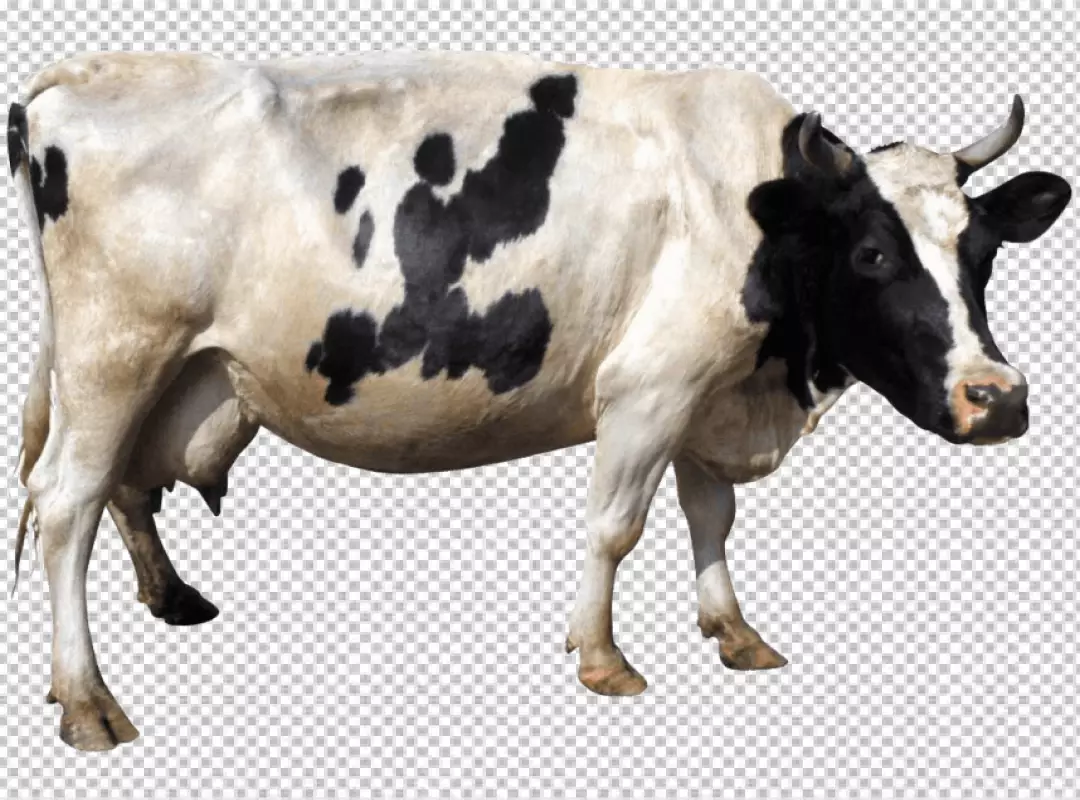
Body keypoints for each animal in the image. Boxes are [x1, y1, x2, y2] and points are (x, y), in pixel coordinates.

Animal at [6, 50, 1070, 751]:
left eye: (983, 253)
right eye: (875, 254)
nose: (998, 398)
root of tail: (82, 79)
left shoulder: (709, 393)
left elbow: (710, 517)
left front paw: (733, 631)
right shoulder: (650, 386)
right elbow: (616, 527)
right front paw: (601, 655)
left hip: (169, 373)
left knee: (125, 489)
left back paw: (169, 599)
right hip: (115, 355)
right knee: (67, 504)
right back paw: (88, 699)